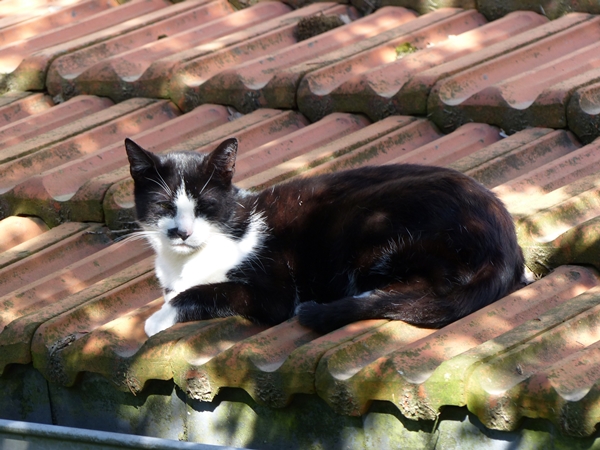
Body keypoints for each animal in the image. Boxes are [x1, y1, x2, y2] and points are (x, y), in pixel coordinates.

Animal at [124, 137, 525, 337]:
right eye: (163, 205)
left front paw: (158, 318)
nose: (181, 232)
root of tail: (505, 238)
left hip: (372, 223)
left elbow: (208, 291)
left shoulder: (273, 291)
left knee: (428, 289)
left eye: (204, 205)